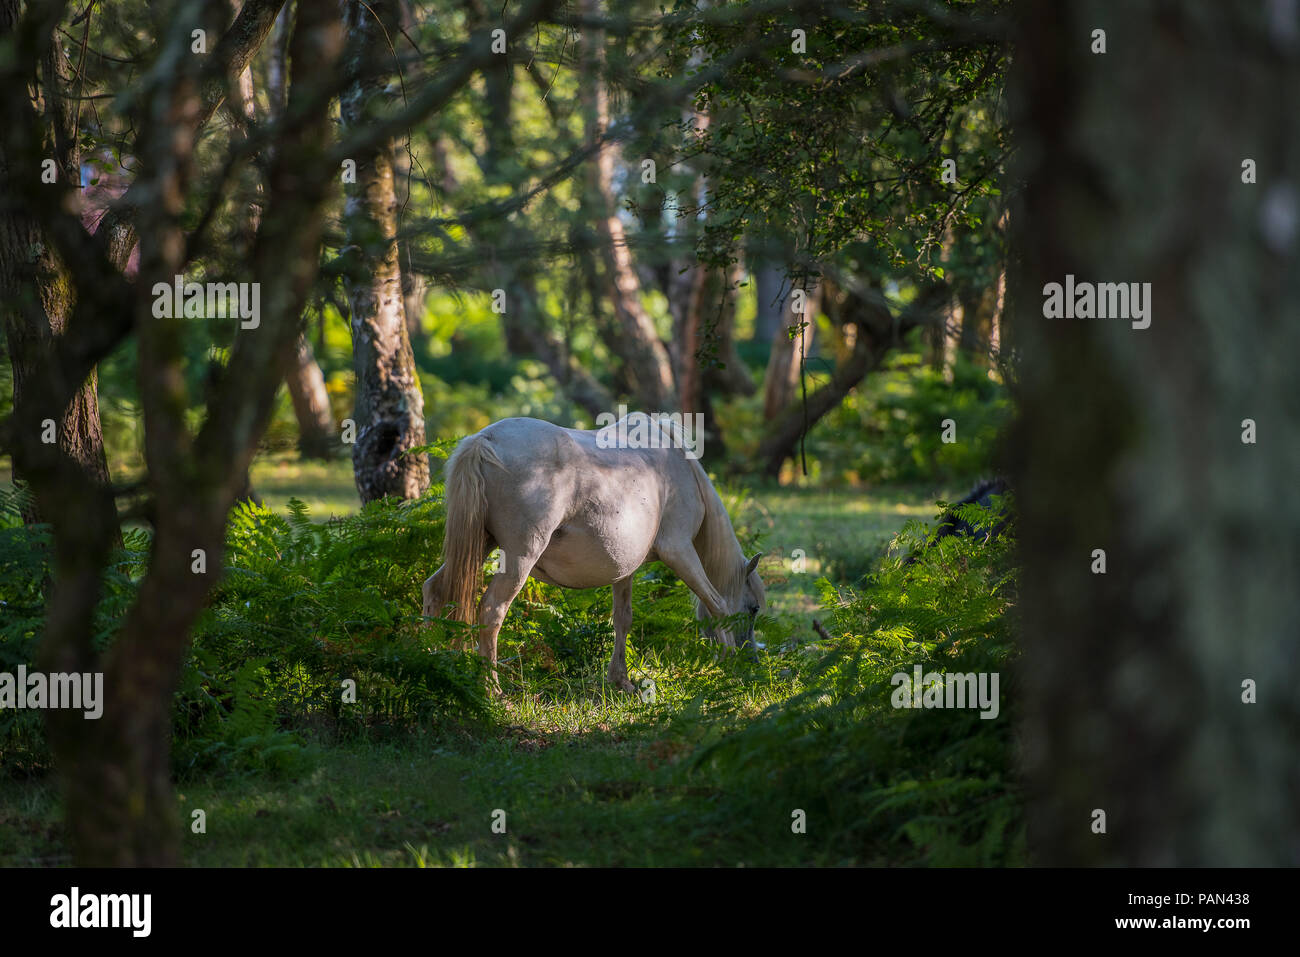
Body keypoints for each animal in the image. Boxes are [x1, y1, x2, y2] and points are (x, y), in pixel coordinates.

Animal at [421, 416, 764, 691]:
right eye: (754, 609)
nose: (752, 659)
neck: (678, 465)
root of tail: (484, 440)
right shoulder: (679, 551)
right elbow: (718, 604)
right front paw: (729, 662)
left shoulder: (625, 570)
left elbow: (623, 619)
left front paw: (621, 681)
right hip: (519, 557)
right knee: (492, 611)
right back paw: (492, 689)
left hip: (480, 546)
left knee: (435, 590)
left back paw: (426, 660)